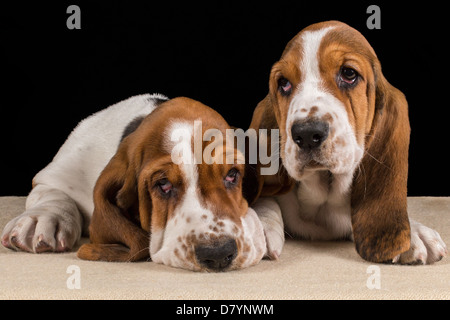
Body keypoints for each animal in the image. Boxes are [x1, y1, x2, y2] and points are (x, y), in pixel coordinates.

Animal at [0, 94, 268, 272]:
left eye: (232, 175)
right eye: (163, 184)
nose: (219, 253)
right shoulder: (54, 175)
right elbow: (54, 195)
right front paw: (41, 219)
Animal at [251, 20, 448, 264]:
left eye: (348, 74)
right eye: (284, 83)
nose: (306, 134)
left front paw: (413, 234)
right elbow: (266, 200)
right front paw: (260, 224)